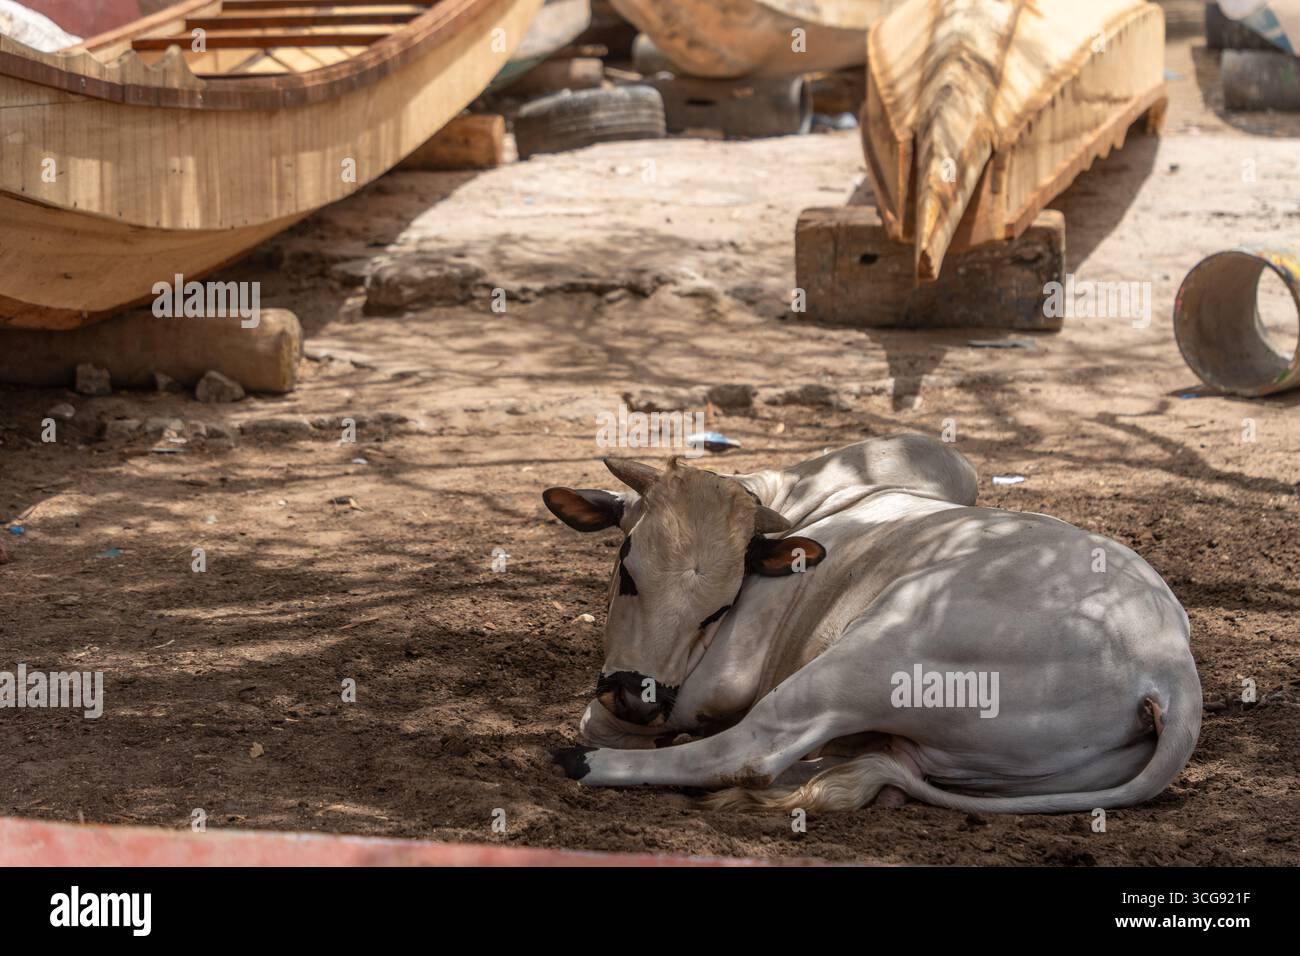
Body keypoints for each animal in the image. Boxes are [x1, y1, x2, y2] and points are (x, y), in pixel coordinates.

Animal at [542, 434, 1201, 814]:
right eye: (628, 571)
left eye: (719, 608)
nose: (638, 697)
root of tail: (1168, 665)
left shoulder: (715, 679)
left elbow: (605, 718)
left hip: (874, 654)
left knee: (749, 751)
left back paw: (583, 764)